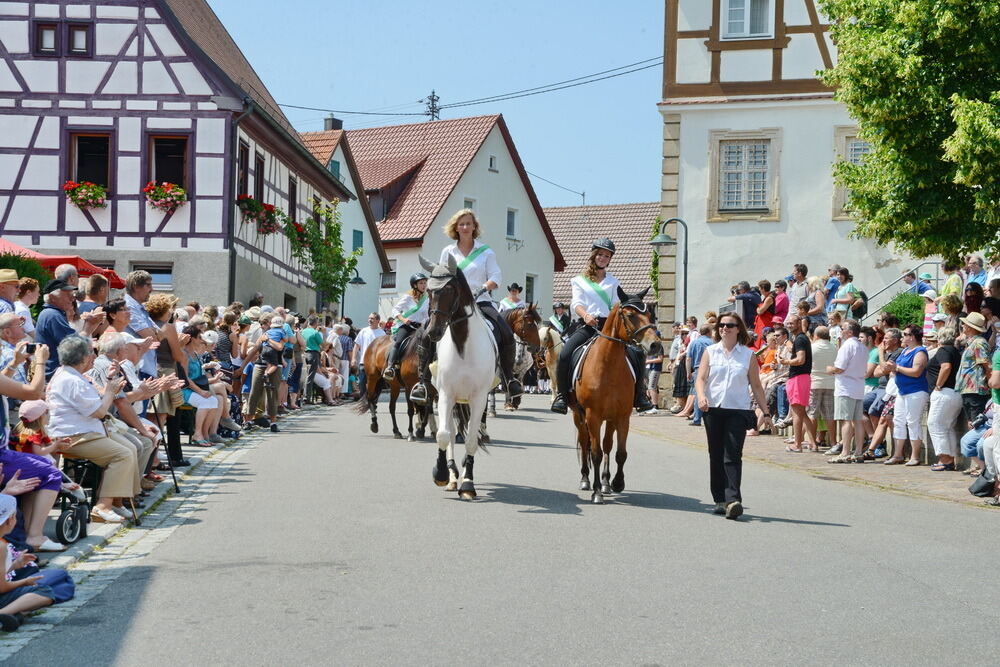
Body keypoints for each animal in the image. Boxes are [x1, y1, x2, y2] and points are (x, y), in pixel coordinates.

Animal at [572, 288, 664, 506]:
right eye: (630, 315)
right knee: (585, 442)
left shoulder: (622, 416)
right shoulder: (593, 416)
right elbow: (595, 453)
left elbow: (620, 453)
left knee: (607, 445)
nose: (655, 345)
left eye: (650, 315)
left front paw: (616, 483)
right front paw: (596, 492)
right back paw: (586, 479)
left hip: (610, 419)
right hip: (579, 416)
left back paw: (605, 482)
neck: (609, 366)